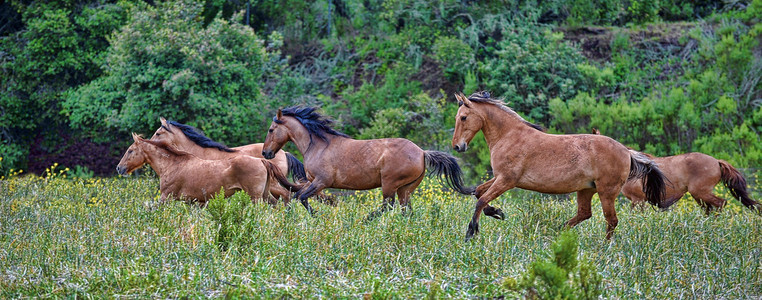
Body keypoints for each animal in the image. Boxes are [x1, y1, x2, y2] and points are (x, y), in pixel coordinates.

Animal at [116, 134, 300, 206]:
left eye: (130, 150)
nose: (119, 168)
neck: (172, 165)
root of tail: (262, 160)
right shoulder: (196, 202)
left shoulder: (166, 197)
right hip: (265, 194)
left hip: (255, 197)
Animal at [262, 106, 476, 218]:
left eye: (271, 129)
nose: (266, 152)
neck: (319, 145)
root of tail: (422, 152)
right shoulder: (312, 182)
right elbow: (299, 194)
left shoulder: (321, 181)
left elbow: (302, 197)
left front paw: (317, 216)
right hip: (405, 189)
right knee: (406, 210)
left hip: (390, 184)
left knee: (387, 206)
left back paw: (365, 219)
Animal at [452, 92, 664, 240]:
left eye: (463, 117)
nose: (457, 146)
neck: (509, 136)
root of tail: (627, 152)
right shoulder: (500, 178)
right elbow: (478, 192)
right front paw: (497, 212)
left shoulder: (507, 180)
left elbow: (480, 200)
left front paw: (471, 233)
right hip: (586, 189)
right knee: (585, 213)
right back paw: (558, 232)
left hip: (606, 192)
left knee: (611, 220)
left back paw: (603, 247)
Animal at [592, 127, 760, 212]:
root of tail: (717, 162)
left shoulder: (638, 200)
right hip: (699, 195)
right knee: (710, 208)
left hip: (700, 192)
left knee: (720, 203)